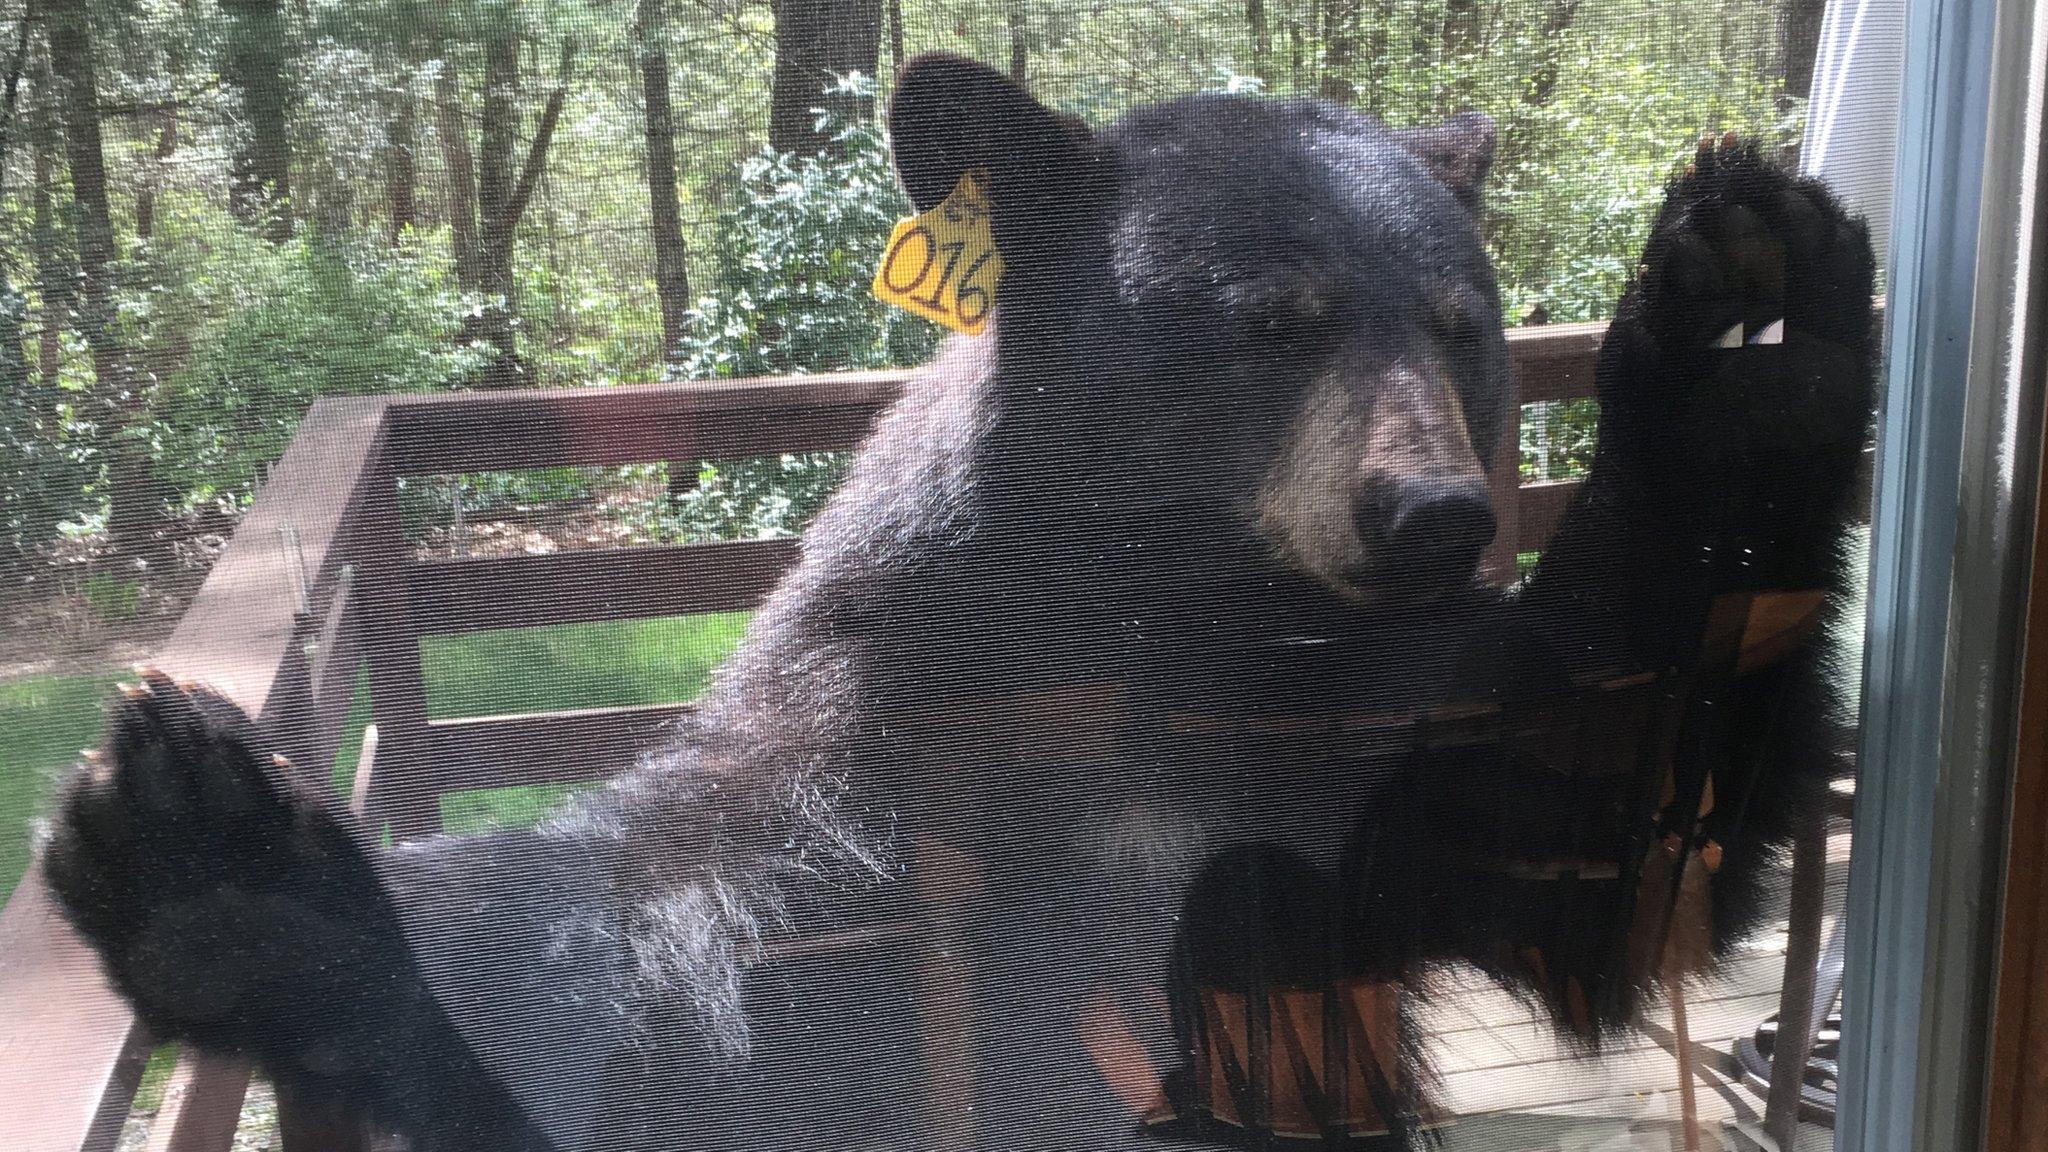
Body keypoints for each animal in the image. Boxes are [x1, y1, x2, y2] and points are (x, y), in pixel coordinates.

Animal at [44, 53, 1875, 1147]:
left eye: (1458, 322)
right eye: (1269, 320)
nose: (1431, 517)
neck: (1184, 643)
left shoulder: (1356, 747)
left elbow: (1606, 839)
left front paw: (1741, 310)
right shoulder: (894, 736)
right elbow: (669, 968)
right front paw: (220, 853)